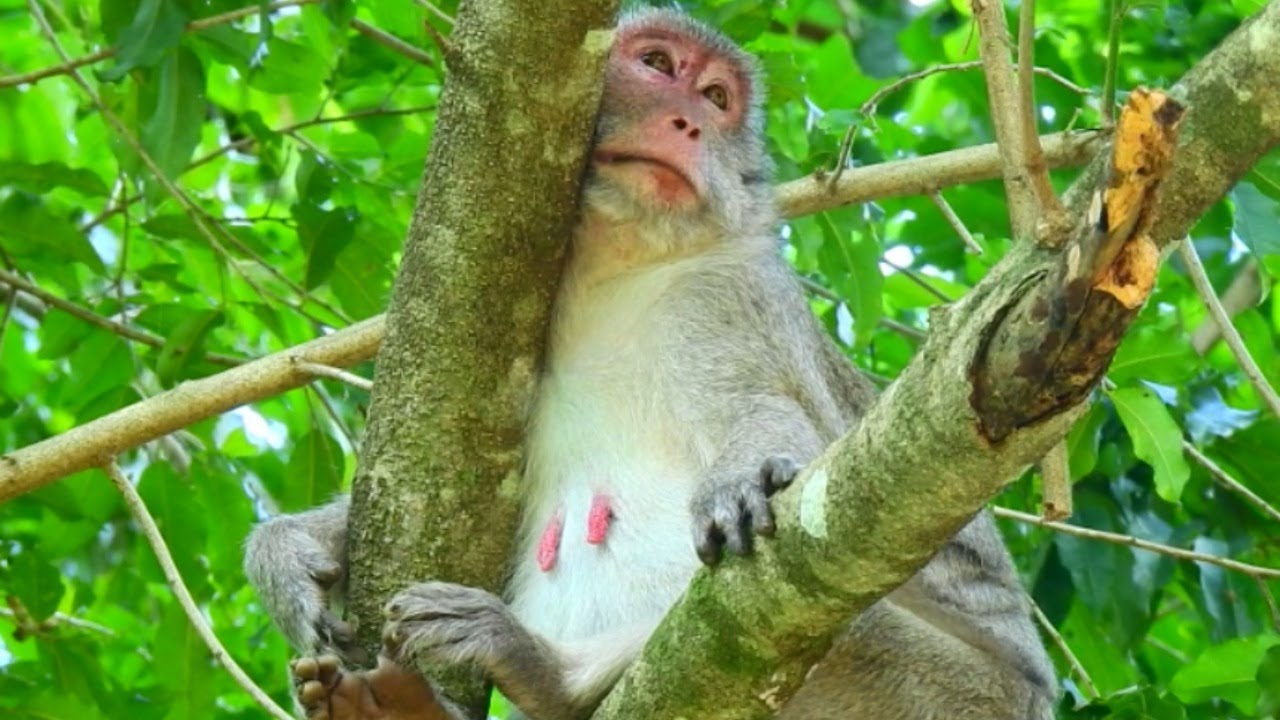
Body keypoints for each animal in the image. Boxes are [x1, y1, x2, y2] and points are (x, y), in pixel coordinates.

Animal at [244, 9, 1058, 720]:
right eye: (659, 65)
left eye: (718, 99)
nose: (688, 121)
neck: (618, 273)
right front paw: (289, 554)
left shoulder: (725, 298)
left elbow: (773, 418)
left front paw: (743, 478)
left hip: (963, 696)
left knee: (819, 607)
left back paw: (543, 674)